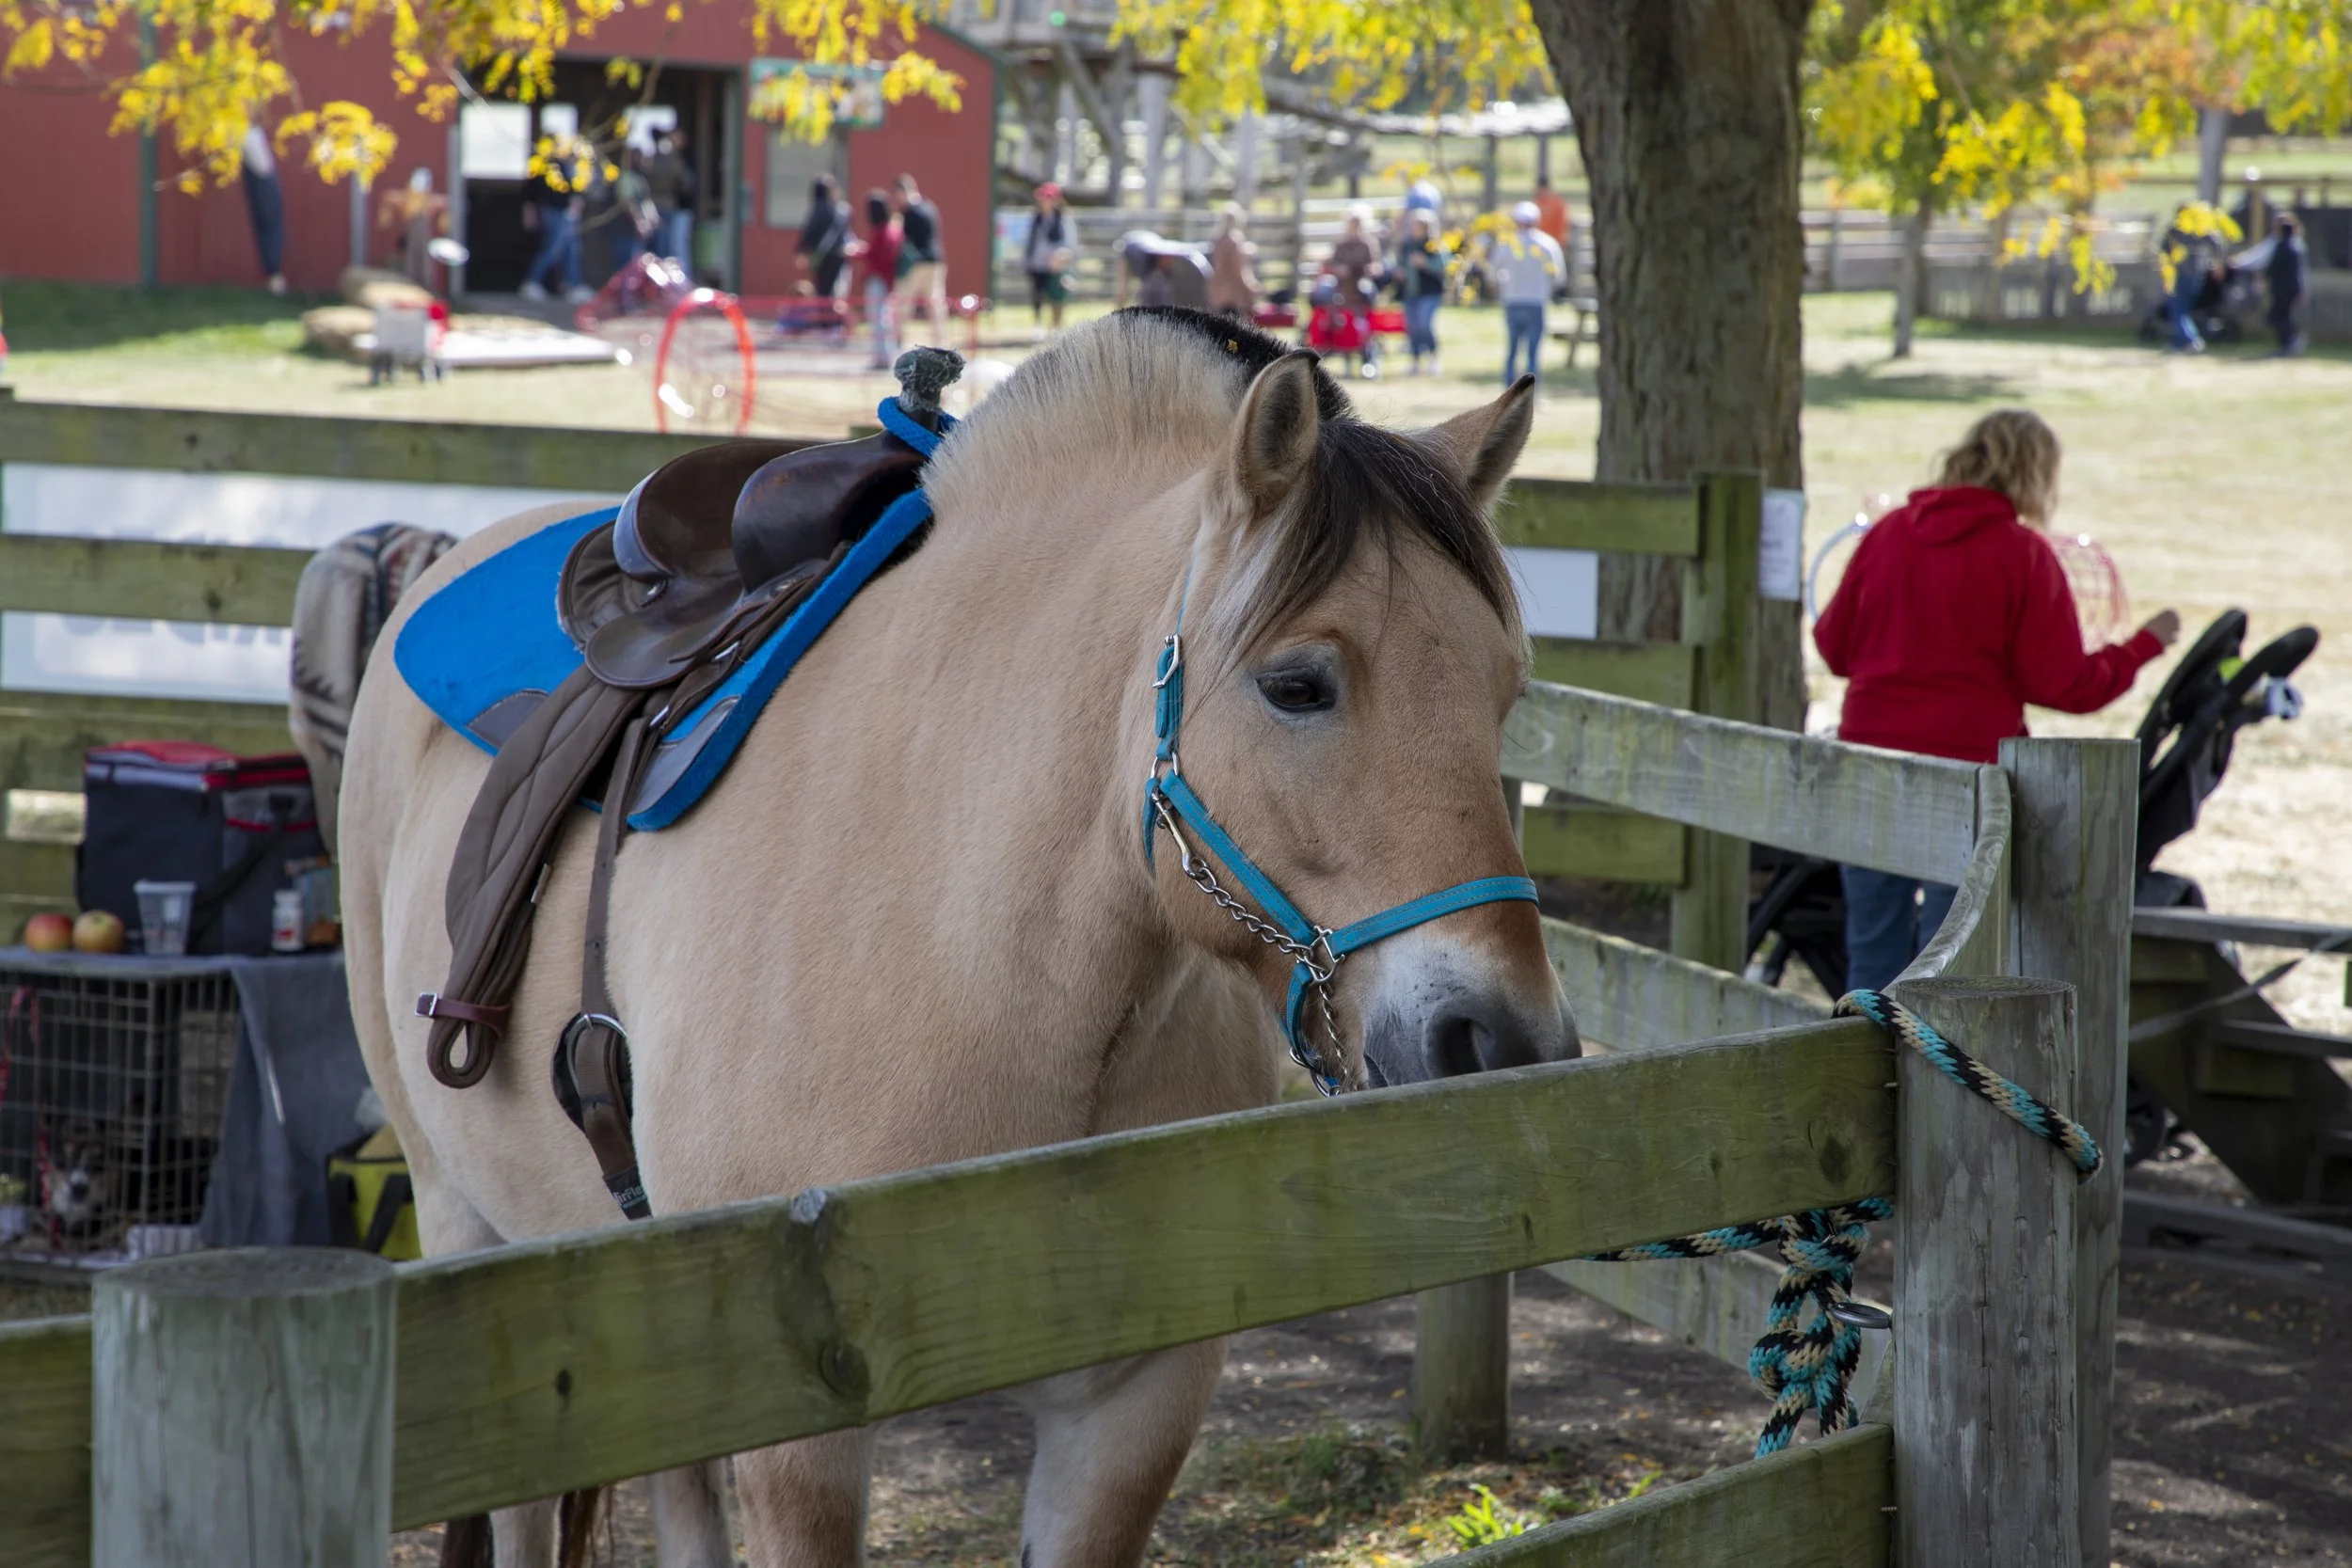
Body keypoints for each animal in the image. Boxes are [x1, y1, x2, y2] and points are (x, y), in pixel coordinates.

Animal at [340, 307, 1579, 1567]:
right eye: (1296, 684)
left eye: (1504, 690)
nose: (1500, 1038)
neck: (978, 957)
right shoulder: (802, 1435)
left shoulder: (1130, 1408)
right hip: (466, 1226)